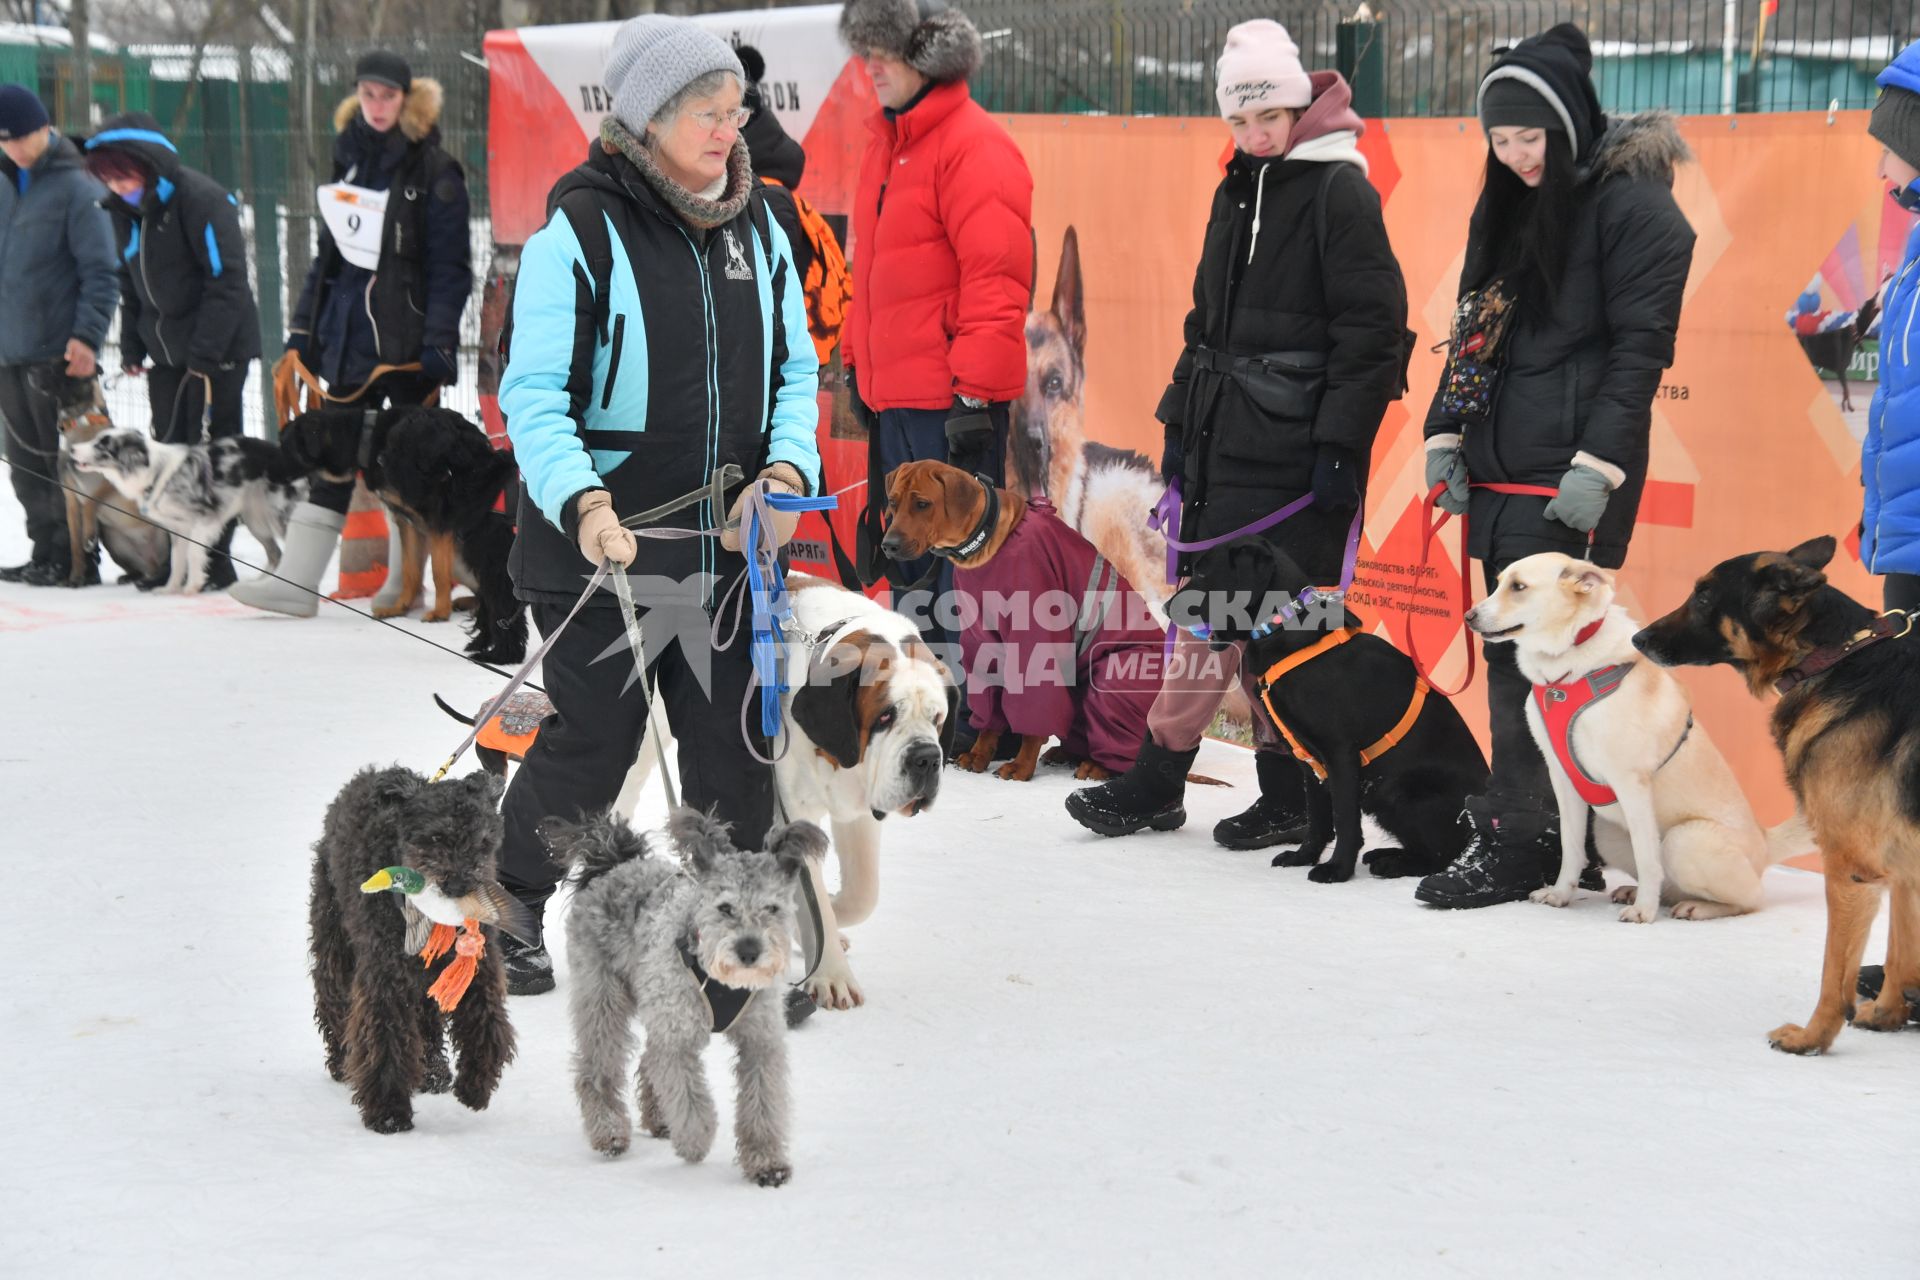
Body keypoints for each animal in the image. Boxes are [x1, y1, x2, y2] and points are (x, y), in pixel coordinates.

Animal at [280, 402, 529, 667]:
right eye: (392, 442)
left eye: (404, 445)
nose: (381, 459)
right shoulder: (410, 522)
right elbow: (411, 571)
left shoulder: (487, 560)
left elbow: (453, 581)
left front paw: (501, 654)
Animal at [549, 805, 833, 1189]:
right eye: (725, 907)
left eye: (773, 908)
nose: (749, 950)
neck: (722, 980)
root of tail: (612, 862)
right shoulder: (678, 1039)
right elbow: (688, 1096)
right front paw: (695, 1139)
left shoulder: (760, 1040)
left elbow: (762, 1104)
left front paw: (767, 1162)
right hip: (603, 999)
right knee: (596, 1069)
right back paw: (609, 1130)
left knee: (647, 1059)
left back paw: (658, 1118)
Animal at [618, 571, 956, 1013]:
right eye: (885, 716)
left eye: (937, 718)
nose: (927, 759)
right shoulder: (791, 808)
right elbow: (814, 898)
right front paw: (831, 974)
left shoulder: (860, 807)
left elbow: (863, 892)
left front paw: (826, 917)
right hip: (643, 733)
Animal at [1167, 537, 1497, 882]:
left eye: (1202, 573)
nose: (1165, 608)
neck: (1285, 628)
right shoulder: (1310, 760)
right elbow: (1318, 818)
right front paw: (1304, 857)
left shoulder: (1340, 753)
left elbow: (1344, 820)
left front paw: (1337, 870)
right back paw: (1387, 854)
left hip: (1404, 792)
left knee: (1441, 856)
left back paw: (1393, 864)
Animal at [1635, 537, 1920, 1059]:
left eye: (1705, 596)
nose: (1637, 639)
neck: (1835, 657)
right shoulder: (1900, 867)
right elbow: (1899, 947)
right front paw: (1888, 1014)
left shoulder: (1849, 871)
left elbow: (1833, 973)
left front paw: (1812, 1038)